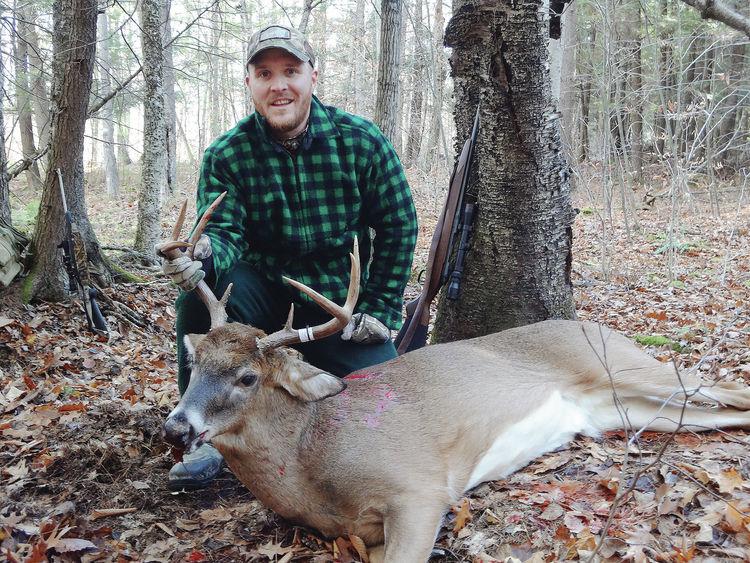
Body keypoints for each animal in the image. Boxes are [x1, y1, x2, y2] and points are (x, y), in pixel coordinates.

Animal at [161, 196, 750, 563]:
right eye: (196, 361)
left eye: (246, 377)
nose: (176, 427)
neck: (309, 464)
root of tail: (591, 321)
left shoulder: (419, 488)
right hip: (625, 408)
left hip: (627, 365)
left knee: (726, 386)